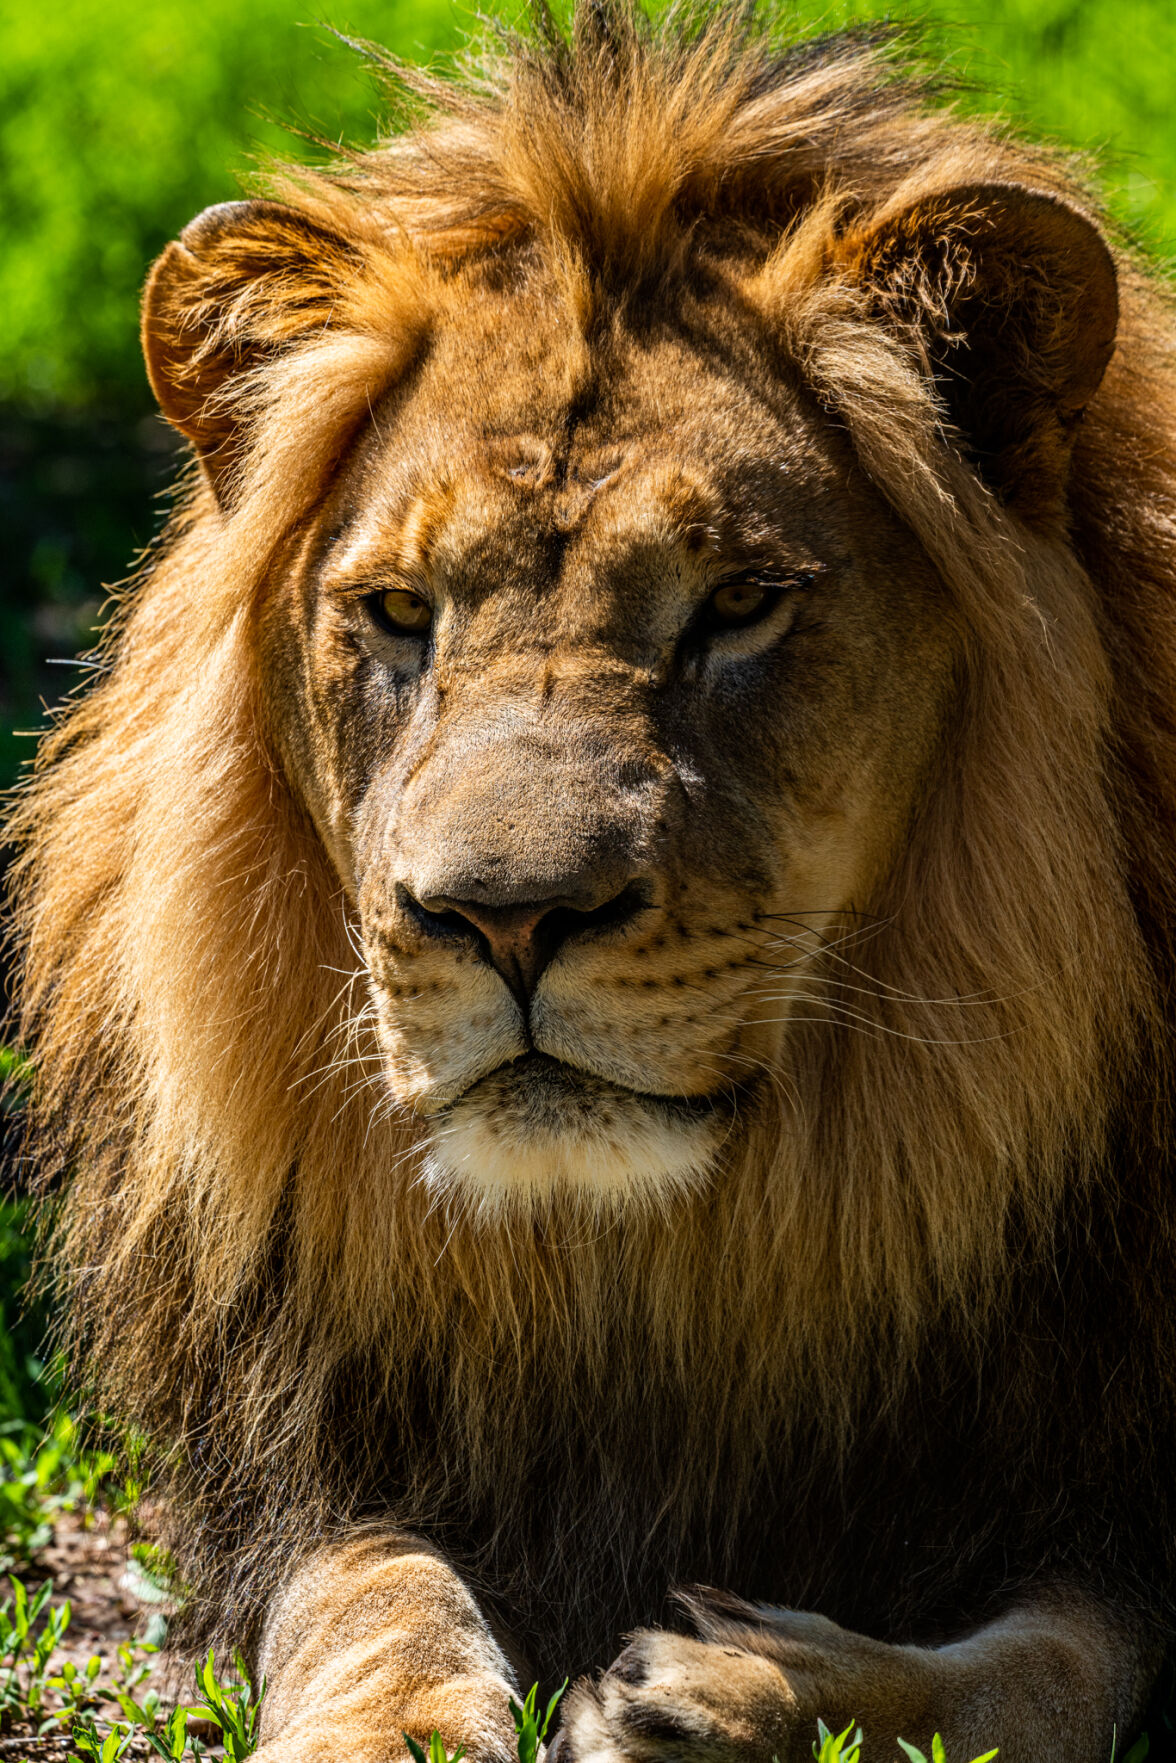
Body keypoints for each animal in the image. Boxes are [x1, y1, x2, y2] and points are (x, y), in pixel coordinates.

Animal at [8, 2, 1176, 1758]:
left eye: (742, 601)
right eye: (398, 611)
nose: (505, 917)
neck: (657, 1271)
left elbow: (1042, 1671)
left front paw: (733, 1688)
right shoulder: (309, 1456)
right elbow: (363, 1590)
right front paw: (390, 1721)